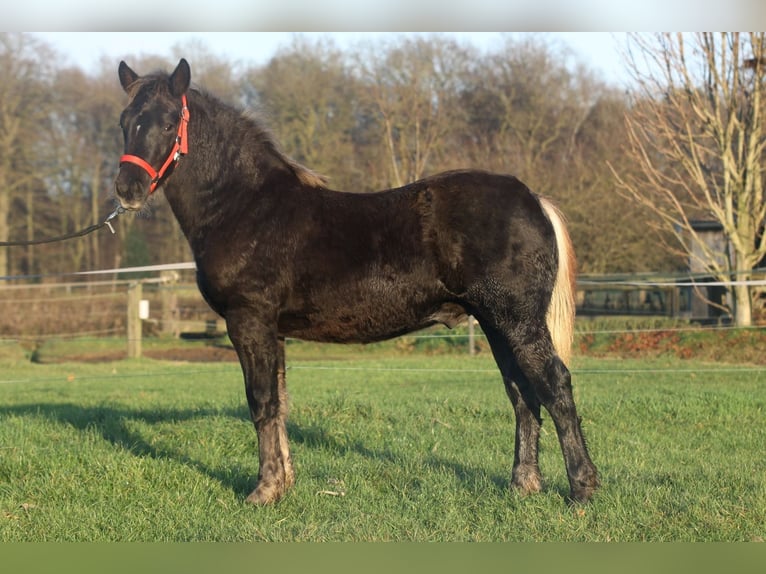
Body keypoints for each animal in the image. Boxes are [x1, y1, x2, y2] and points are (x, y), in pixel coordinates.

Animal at [114, 58, 599, 506]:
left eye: (169, 122)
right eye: (123, 122)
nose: (127, 189)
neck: (244, 206)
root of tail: (533, 199)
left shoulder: (248, 321)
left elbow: (261, 402)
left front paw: (263, 491)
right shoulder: (274, 331)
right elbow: (280, 401)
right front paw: (284, 483)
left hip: (517, 321)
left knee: (554, 385)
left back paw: (581, 490)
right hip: (497, 325)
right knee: (522, 394)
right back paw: (524, 485)